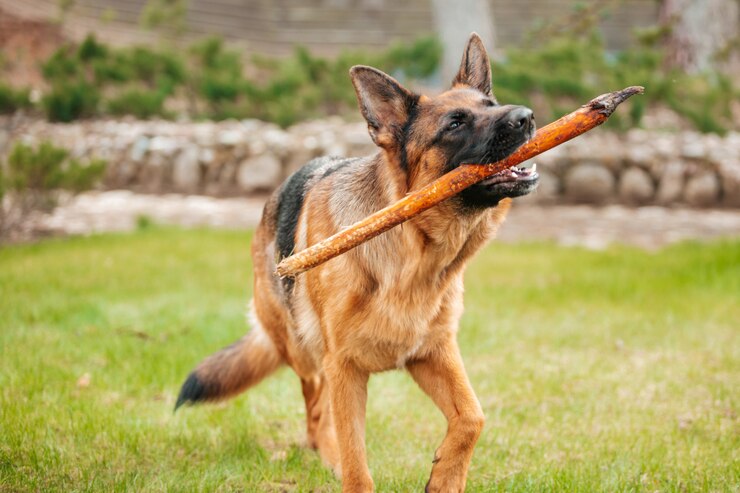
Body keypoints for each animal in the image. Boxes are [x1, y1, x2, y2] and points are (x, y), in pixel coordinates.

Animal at [179, 32, 536, 490]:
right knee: (317, 414)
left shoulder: (432, 353)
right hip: (304, 352)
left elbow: (472, 417)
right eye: (455, 124)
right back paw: (326, 452)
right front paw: (349, 463)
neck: (411, 251)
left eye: (491, 106)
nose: (527, 117)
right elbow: (355, 461)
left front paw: (445, 477)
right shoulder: (345, 369)